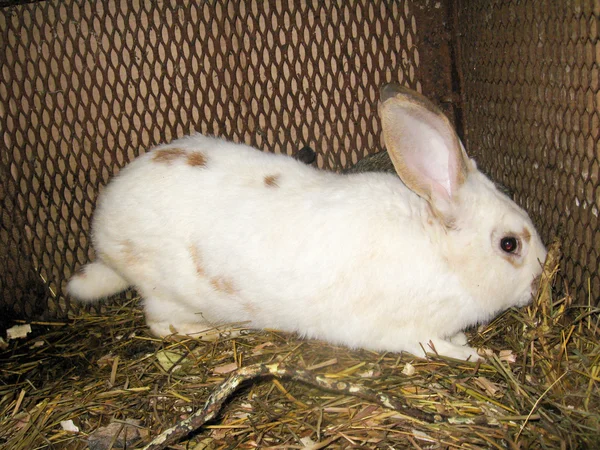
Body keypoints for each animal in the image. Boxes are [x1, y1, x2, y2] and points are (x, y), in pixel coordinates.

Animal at [68, 84, 548, 360]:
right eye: (509, 244)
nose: (543, 274)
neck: (443, 255)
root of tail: (103, 232)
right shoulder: (404, 331)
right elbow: (434, 347)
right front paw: (474, 355)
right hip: (166, 294)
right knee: (162, 325)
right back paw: (218, 333)